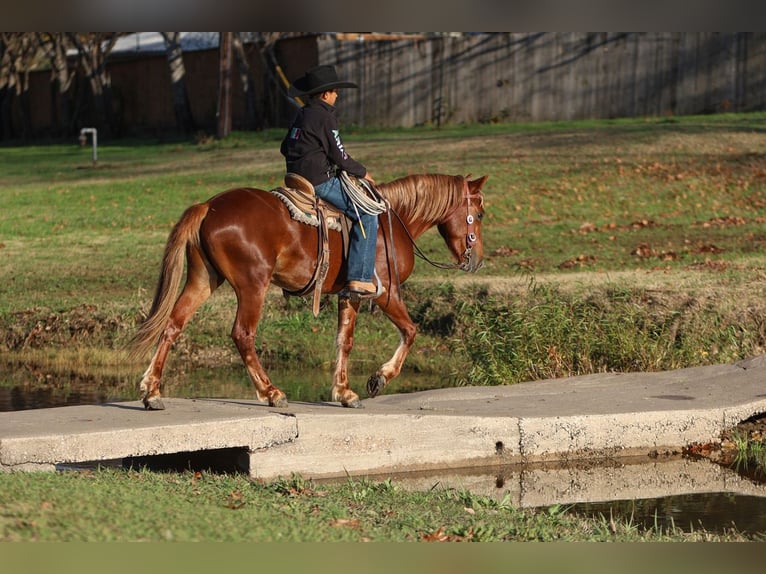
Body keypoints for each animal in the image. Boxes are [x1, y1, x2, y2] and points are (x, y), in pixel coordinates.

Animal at [129, 173, 488, 412]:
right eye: (481, 213)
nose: (477, 260)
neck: (394, 221)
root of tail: (209, 206)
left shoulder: (350, 295)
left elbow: (344, 341)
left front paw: (344, 392)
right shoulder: (386, 293)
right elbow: (411, 331)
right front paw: (379, 379)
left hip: (203, 280)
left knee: (173, 325)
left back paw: (152, 392)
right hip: (252, 286)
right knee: (242, 334)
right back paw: (271, 393)